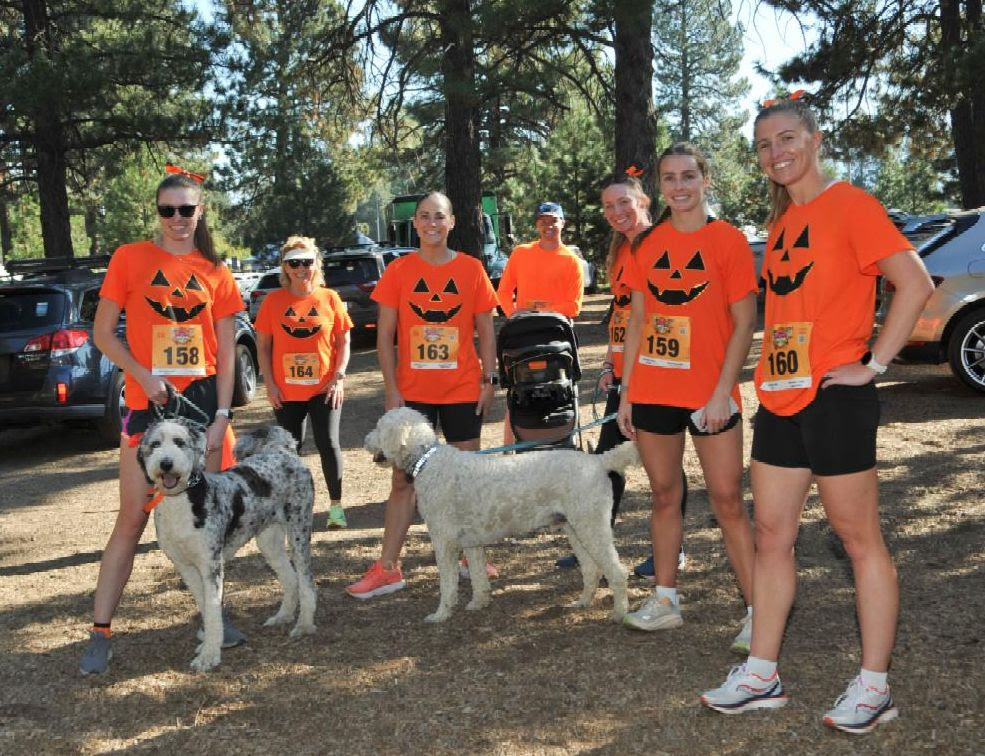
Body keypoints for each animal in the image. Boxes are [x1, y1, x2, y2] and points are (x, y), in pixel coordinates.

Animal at [136, 420, 316, 672]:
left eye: (180, 442)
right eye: (155, 444)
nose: (166, 463)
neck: (182, 501)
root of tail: (283, 451)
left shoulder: (210, 565)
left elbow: (212, 608)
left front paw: (209, 656)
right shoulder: (186, 567)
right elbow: (204, 606)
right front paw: (209, 645)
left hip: (299, 532)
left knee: (306, 581)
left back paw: (305, 625)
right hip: (269, 541)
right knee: (290, 579)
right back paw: (283, 616)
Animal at [366, 410, 636, 624]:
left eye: (379, 427)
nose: (365, 440)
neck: (428, 460)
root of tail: (597, 461)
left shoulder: (444, 542)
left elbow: (448, 584)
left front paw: (441, 614)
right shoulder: (471, 543)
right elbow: (478, 577)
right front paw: (479, 603)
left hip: (592, 527)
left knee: (617, 572)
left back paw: (618, 613)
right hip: (576, 529)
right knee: (591, 570)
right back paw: (582, 602)